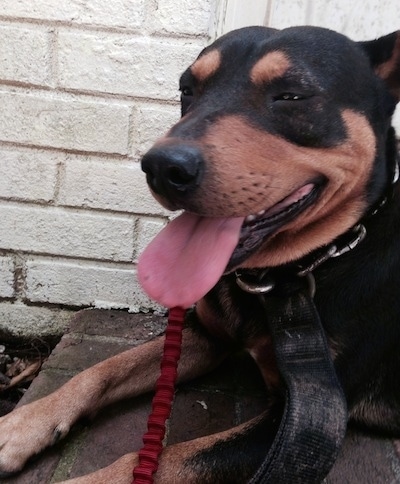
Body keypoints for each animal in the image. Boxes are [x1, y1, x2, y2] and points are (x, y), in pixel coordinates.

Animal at [0, 25, 400, 484]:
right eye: (187, 90)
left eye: (292, 95)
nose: (161, 167)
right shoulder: (206, 337)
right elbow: (103, 369)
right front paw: (21, 427)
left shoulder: (309, 418)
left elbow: (162, 460)